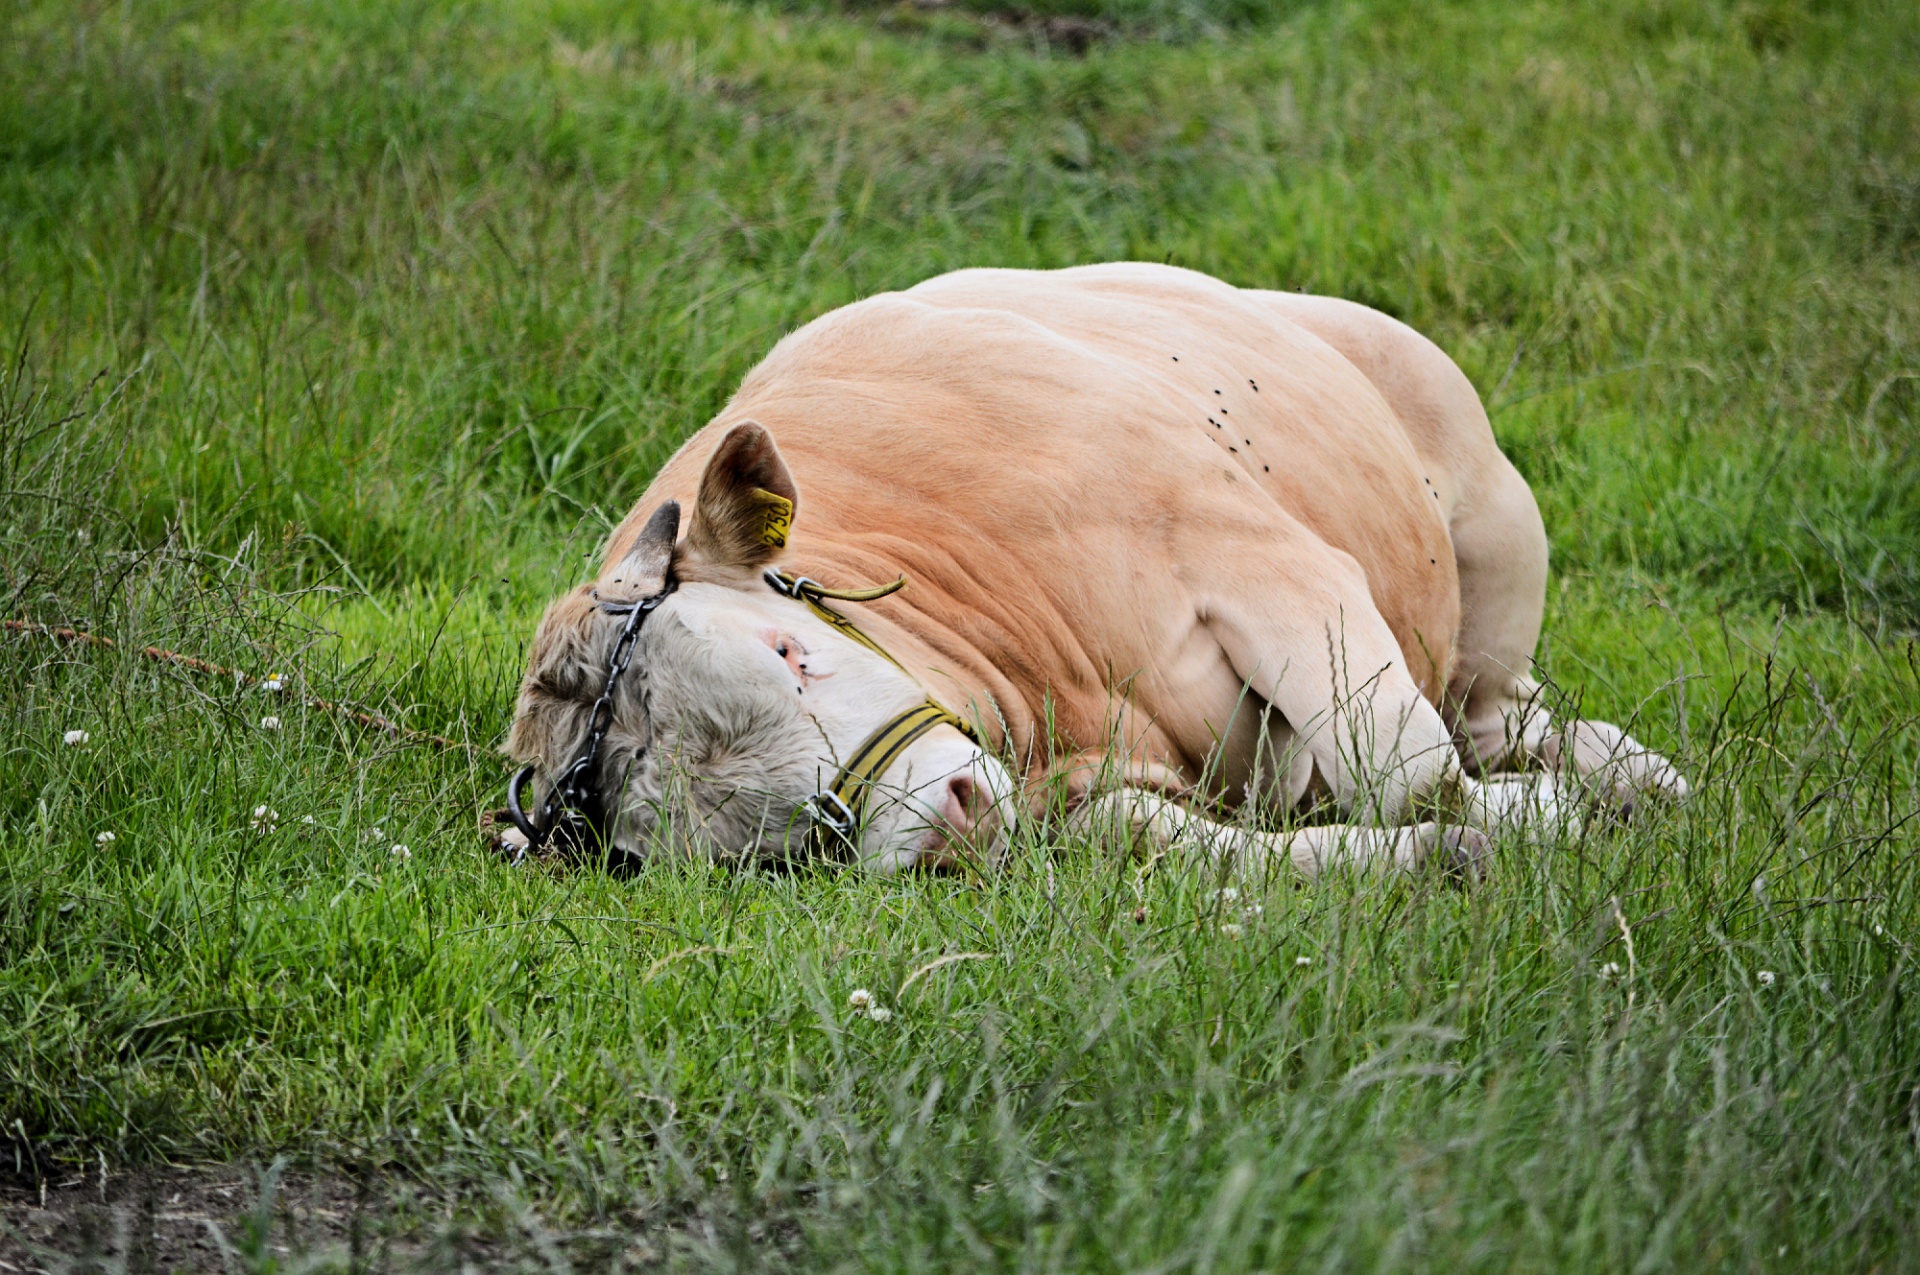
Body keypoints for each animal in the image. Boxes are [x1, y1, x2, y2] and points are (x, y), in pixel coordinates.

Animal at [503, 259, 1689, 875]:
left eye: (790, 650)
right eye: (774, 852)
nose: (944, 820)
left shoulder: (1263, 560)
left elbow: (1402, 765)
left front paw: (1536, 817)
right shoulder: (1078, 796)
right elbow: (1208, 846)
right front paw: (1442, 851)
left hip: (1495, 543)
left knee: (1484, 714)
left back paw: (1634, 776)